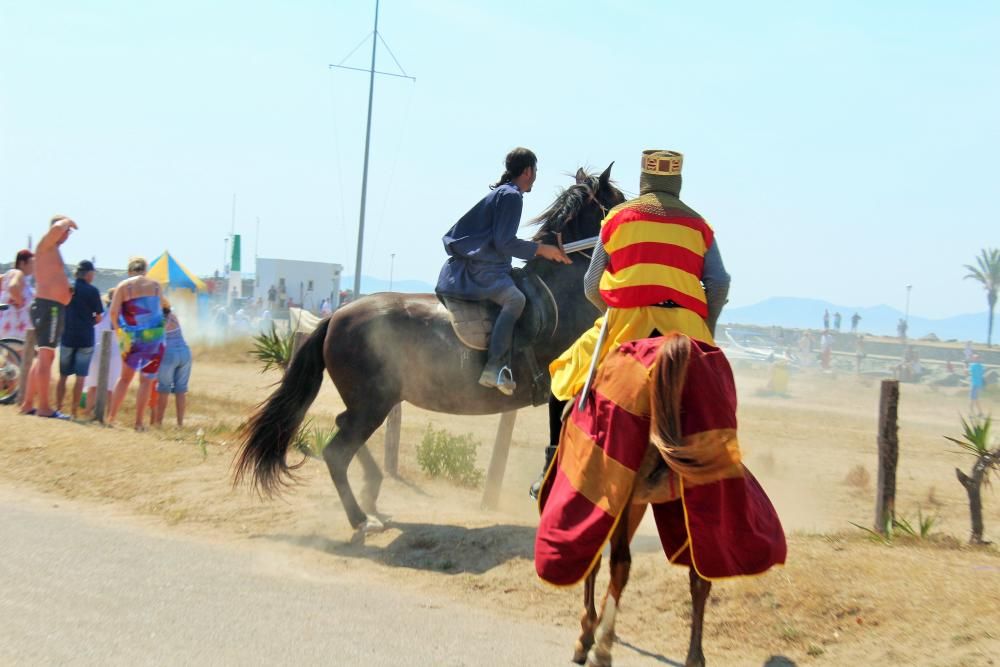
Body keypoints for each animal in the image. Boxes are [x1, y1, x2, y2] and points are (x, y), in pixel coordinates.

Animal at [235, 164, 624, 540]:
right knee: (337, 452)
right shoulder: (564, 387)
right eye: (619, 200)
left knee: (342, 430)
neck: (562, 290)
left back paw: (372, 495)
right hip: (372, 403)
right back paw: (361, 519)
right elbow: (560, 439)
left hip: (371, 403)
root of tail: (335, 318)